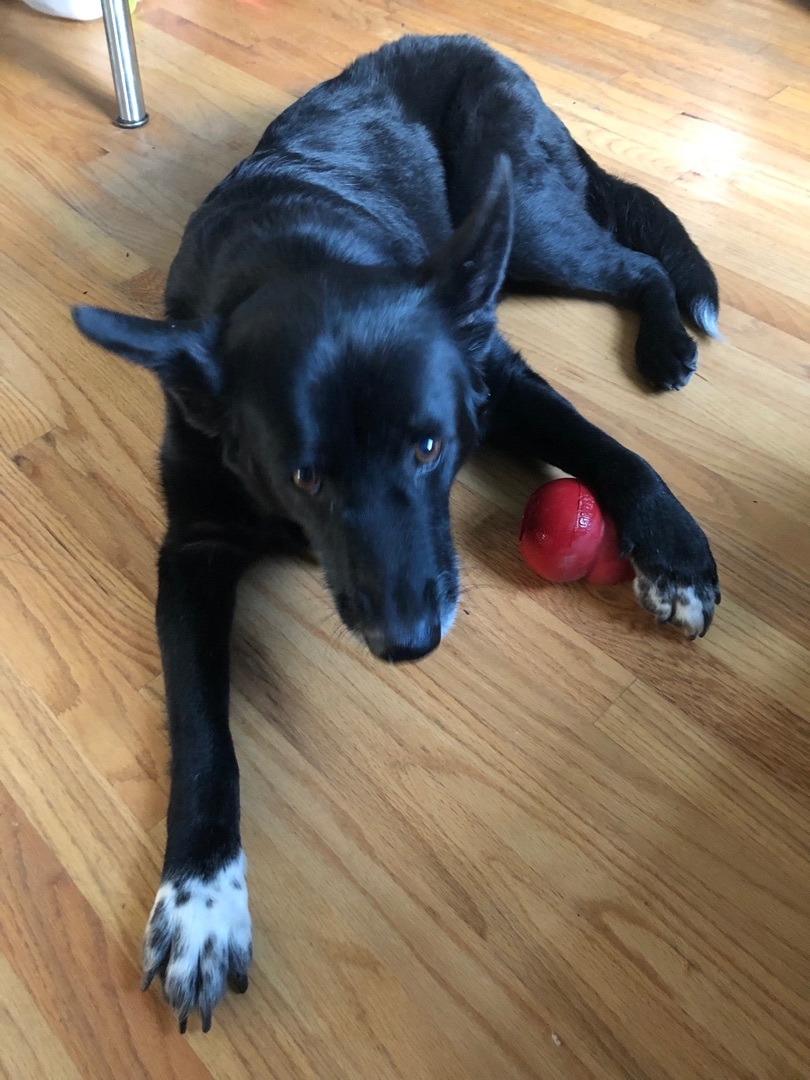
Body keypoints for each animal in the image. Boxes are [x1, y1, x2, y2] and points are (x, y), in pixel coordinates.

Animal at [74, 31, 721, 1028]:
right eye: (305, 474)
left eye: (430, 447)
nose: (411, 642)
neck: (292, 259)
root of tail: (479, 46)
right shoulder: (192, 550)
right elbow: (202, 732)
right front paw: (200, 903)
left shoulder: (493, 375)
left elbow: (603, 446)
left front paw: (674, 547)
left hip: (528, 224)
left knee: (638, 266)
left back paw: (667, 343)